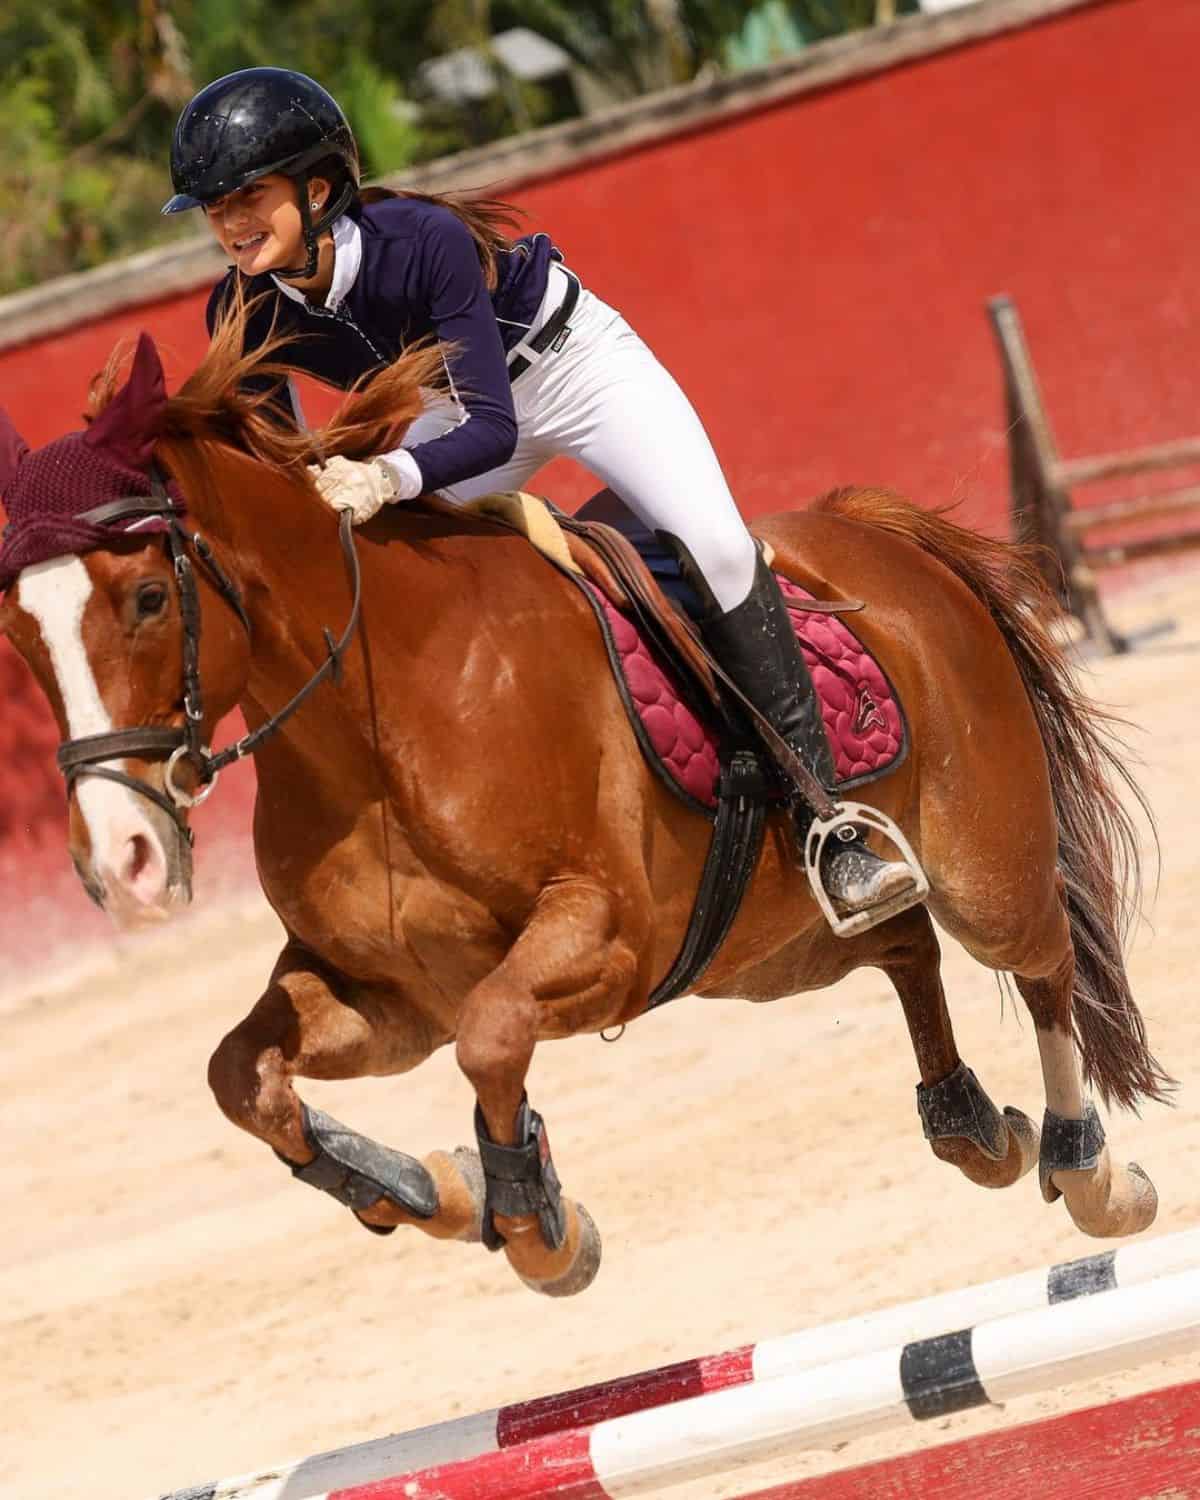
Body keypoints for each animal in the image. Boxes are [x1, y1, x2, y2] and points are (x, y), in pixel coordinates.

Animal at [0, 331, 1164, 1302]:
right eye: (19, 631)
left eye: (151, 598)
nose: (122, 863)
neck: (372, 718)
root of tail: (873, 534)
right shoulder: (388, 993)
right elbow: (244, 1080)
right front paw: (432, 1190)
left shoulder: (607, 937)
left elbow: (492, 1034)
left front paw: (537, 1226)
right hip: (771, 951)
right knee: (904, 945)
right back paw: (973, 1128)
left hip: (982, 869)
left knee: (1040, 963)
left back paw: (1090, 1173)